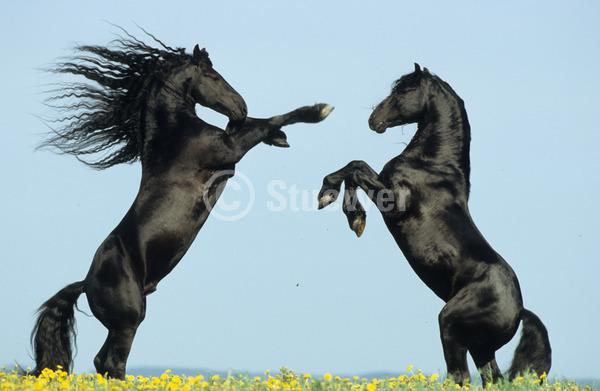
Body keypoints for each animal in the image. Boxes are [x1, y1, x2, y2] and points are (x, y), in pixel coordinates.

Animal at [29, 30, 332, 380]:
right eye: (214, 76)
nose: (241, 106)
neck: (173, 133)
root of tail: (85, 283)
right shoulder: (231, 148)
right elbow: (268, 120)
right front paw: (317, 110)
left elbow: (258, 124)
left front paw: (279, 137)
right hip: (129, 321)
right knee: (112, 363)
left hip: (122, 323)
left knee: (103, 363)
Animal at [318, 64, 548, 386]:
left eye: (405, 90)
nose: (373, 120)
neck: (430, 164)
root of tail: (520, 311)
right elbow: (354, 170)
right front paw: (353, 217)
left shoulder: (391, 202)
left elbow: (355, 167)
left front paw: (339, 205)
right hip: (481, 349)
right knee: (491, 379)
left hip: (451, 328)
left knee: (459, 376)